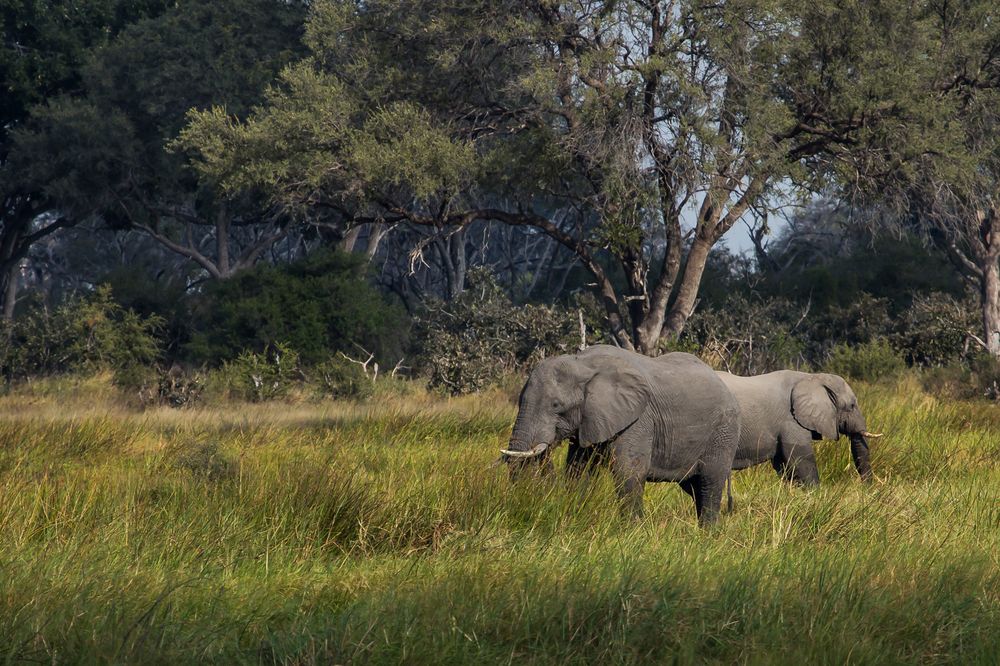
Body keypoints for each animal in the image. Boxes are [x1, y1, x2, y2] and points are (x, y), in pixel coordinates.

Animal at [500, 342, 744, 524]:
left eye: (556, 405)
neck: (583, 364)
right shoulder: (591, 419)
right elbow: (578, 470)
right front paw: (574, 515)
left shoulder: (639, 419)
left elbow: (629, 470)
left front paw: (632, 530)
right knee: (694, 488)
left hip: (724, 431)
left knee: (709, 483)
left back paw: (708, 534)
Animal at [716, 368, 880, 482]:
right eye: (852, 406)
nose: (866, 490)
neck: (811, 377)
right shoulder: (790, 420)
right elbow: (801, 459)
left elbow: (783, 464)